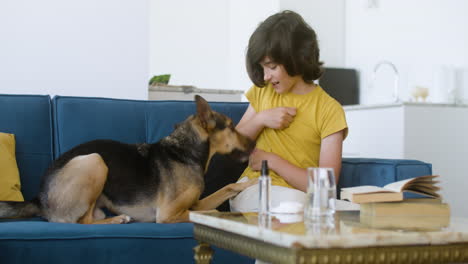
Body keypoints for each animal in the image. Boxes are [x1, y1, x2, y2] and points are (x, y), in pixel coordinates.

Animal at [0, 95, 256, 223]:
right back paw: (118, 219)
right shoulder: (169, 214)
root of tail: (39, 198)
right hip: (94, 160)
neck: (186, 152)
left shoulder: (195, 203)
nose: (254, 144)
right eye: (231, 127)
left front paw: (250, 183)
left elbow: (227, 188)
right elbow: (214, 213)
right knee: (82, 222)